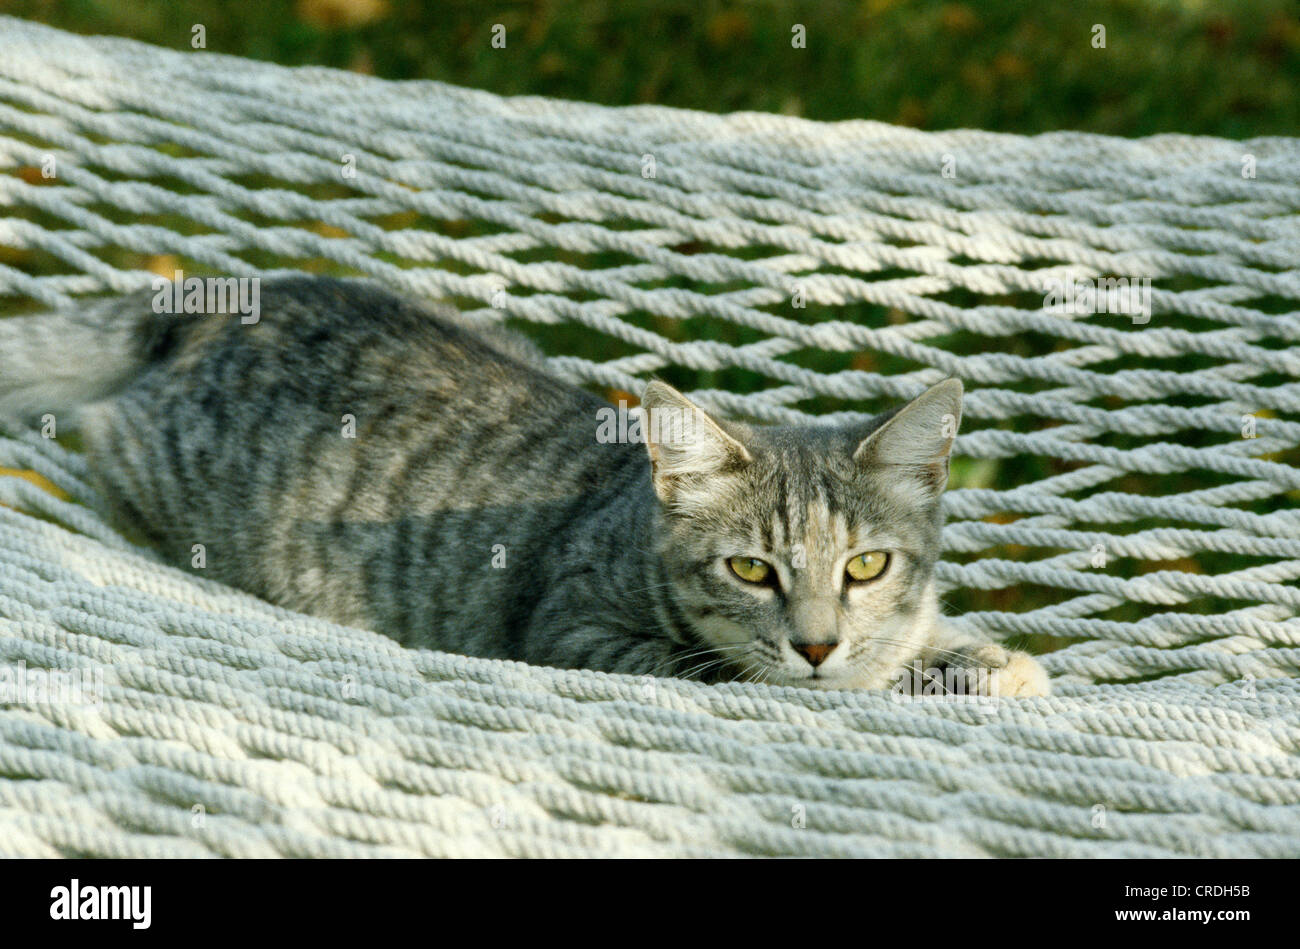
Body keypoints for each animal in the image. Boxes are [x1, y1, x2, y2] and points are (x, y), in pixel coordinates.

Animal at [0, 273, 1050, 696]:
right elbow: (746, 673)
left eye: (866, 565)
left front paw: (982, 657)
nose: (818, 643)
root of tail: (219, 305)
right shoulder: (574, 630)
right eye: (752, 570)